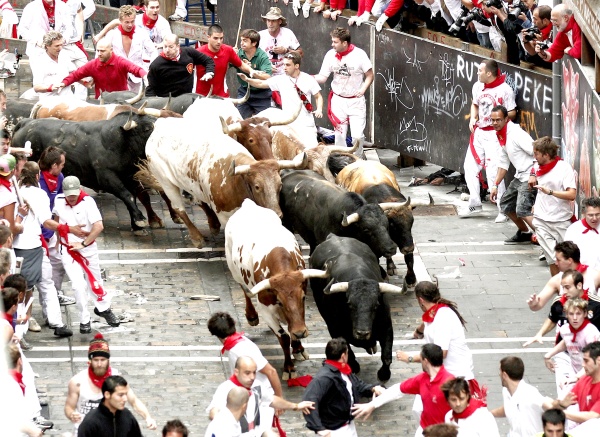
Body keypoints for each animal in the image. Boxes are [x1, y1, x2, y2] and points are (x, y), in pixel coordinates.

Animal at [11, 114, 178, 233]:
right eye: (147, 128)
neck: (118, 144)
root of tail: (26, 122)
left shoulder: (131, 177)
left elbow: (136, 196)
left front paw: (136, 224)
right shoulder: (106, 177)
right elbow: (126, 195)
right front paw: (139, 220)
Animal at [143, 116, 308, 249]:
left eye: (279, 185)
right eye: (257, 186)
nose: (277, 213)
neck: (237, 182)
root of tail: (161, 123)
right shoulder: (224, 214)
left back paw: (212, 225)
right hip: (165, 181)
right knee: (179, 208)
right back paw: (197, 238)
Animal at [225, 198, 328, 378]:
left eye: (303, 297)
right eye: (279, 301)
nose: (301, 332)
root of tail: (248, 204)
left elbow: (292, 328)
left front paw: (298, 348)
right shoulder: (266, 309)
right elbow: (284, 337)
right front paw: (289, 367)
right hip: (235, 271)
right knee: (244, 290)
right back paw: (251, 316)